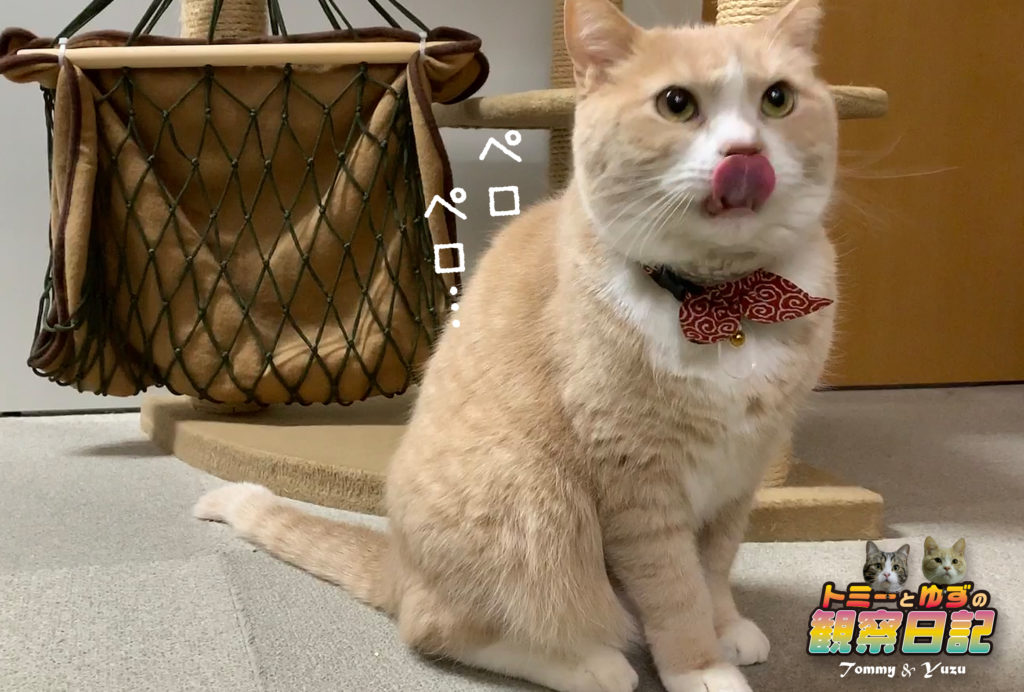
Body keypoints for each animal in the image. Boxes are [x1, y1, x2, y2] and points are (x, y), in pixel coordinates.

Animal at [193, 1, 839, 691]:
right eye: (676, 103)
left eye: (777, 99)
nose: (745, 152)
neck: (724, 302)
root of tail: (399, 563)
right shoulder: (638, 480)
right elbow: (675, 590)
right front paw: (700, 666)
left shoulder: (744, 469)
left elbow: (713, 568)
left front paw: (727, 627)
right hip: (535, 495)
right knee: (448, 626)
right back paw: (592, 664)